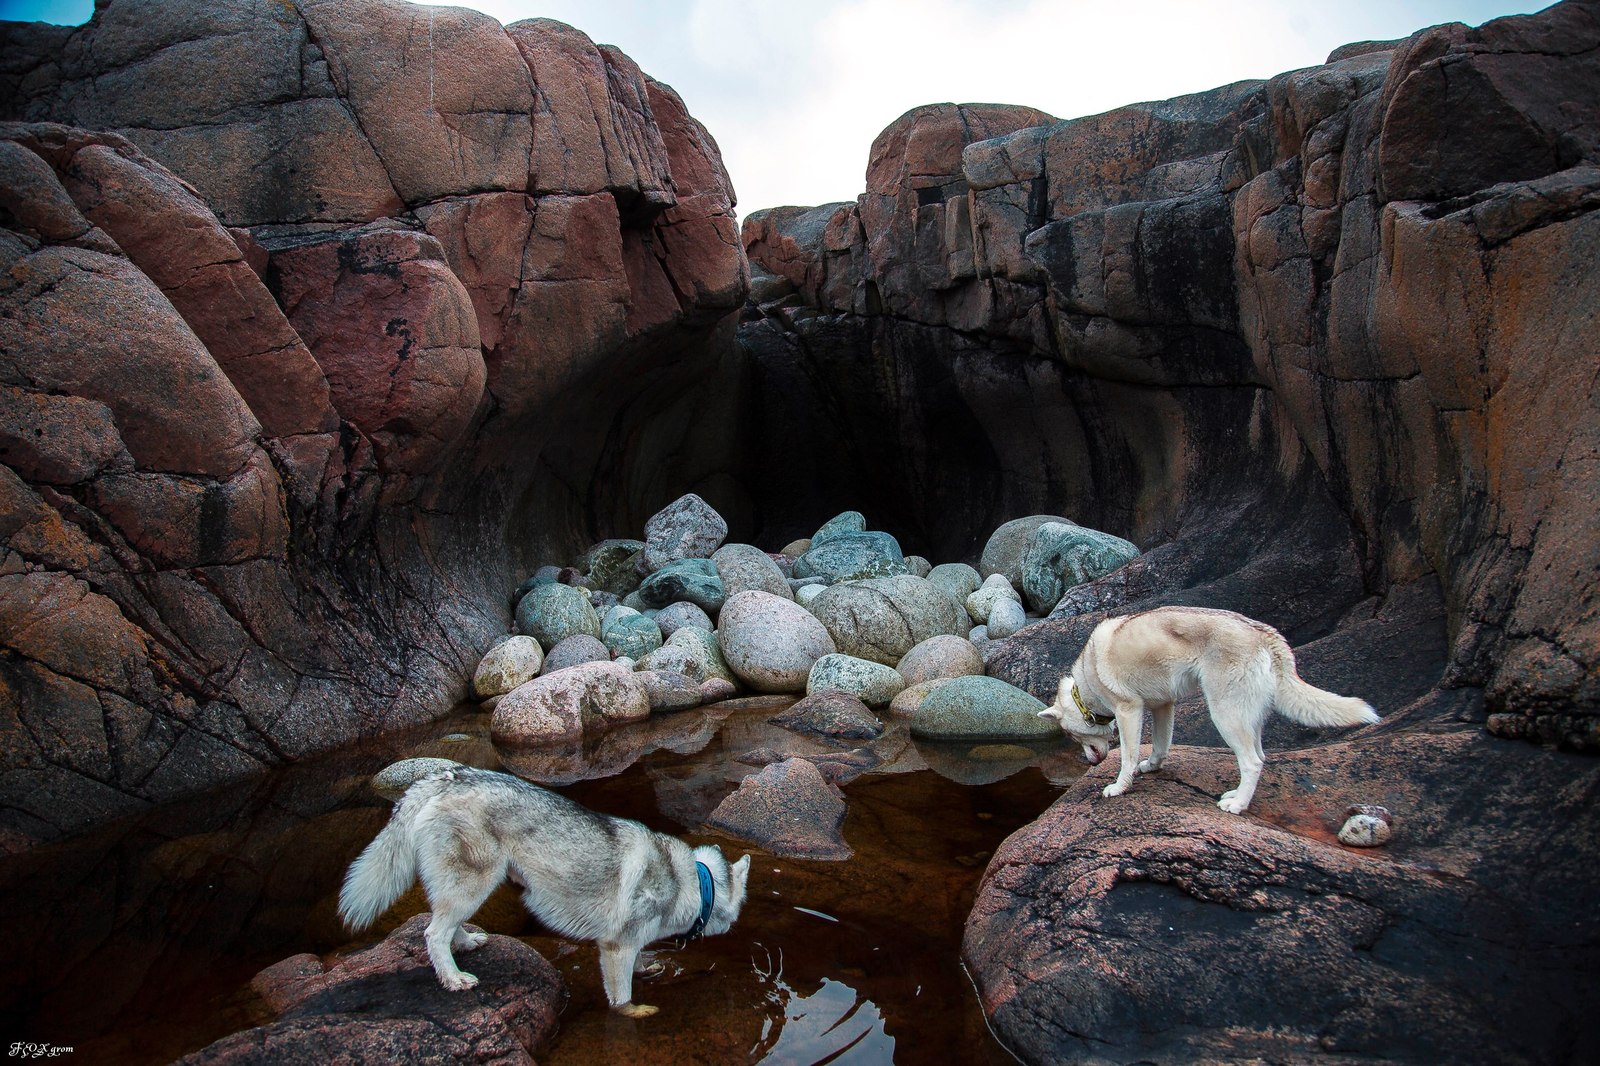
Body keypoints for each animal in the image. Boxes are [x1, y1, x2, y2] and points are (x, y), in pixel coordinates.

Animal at [337, 765, 748, 1011]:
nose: (734, 929)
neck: (693, 882)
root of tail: (449, 775)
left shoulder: (627, 942)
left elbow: (640, 962)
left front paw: (649, 967)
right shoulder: (615, 947)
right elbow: (621, 999)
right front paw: (637, 1011)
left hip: (469, 890)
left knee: (445, 926)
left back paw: (467, 943)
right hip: (474, 885)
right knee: (433, 933)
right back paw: (453, 978)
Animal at [1036, 605, 1376, 813]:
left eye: (1072, 736)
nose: (1089, 762)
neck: (1087, 687)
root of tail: (1263, 631)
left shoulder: (1129, 710)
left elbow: (1128, 757)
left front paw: (1120, 787)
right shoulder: (1163, 706)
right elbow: (1160, 746)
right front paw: (1151, 767)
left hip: (1224, 714)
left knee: (1252, 762)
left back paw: (1237, 805)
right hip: (1247, 717)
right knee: (1260, 757)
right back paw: (1236, 795)